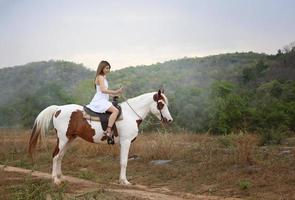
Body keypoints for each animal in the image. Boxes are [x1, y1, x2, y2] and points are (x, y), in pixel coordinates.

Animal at [28, 90, 173, 185]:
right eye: (161, 104)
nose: (169, 120)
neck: (130, 114)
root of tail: (58, 109)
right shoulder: (126, 142)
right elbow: (124, 162)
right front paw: (124, 181)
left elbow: (122, 162)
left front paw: (122, 180)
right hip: (63, 139)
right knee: (55, 155)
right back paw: (55, 179)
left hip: (69, 139)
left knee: (60, 156)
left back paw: (61, 177)